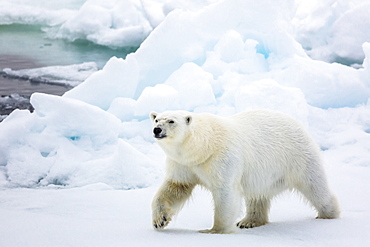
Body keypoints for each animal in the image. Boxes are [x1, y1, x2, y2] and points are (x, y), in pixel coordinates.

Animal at [149, 110, 340, 233]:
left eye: (171, 121)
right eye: (156, 119)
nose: (157, 129)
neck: (204, 147)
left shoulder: (223, 157)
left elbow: (225, 192)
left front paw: (214, 230)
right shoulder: (183, 163)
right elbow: (175, 186)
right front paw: (160, 221)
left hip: (298, 156)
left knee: (315, 186)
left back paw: (328, 214)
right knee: (257, 195)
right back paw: (249, 221)